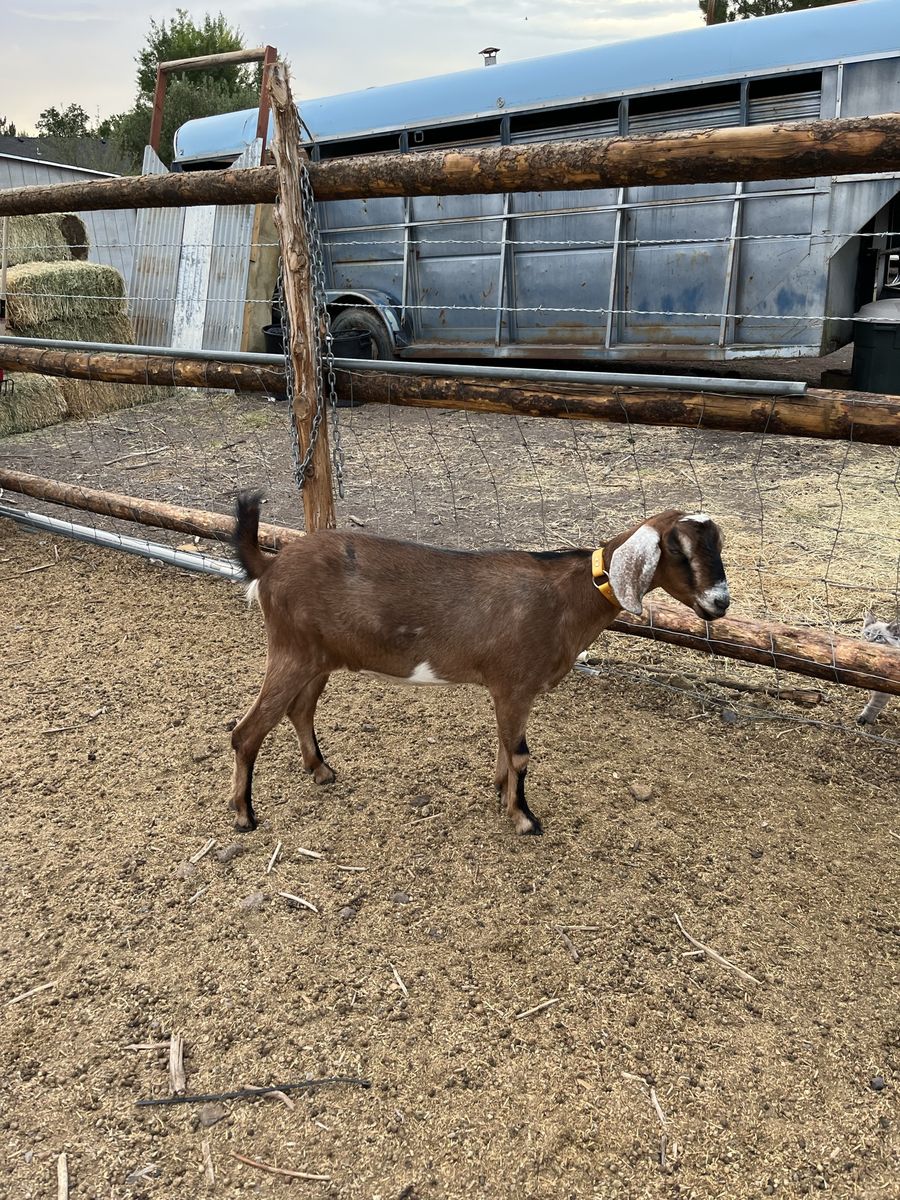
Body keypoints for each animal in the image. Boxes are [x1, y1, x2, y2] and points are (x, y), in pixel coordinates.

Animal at [229, 496, 730, 836]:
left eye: (718, 546)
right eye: (678, 550)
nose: (720, 603)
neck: (567, 597)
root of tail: (269, 567)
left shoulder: (508, 691)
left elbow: (507, 746)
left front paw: (500, 789)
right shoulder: (514, 685)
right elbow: (521, 753)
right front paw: (523, 818)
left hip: (319, 659)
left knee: (299, 710)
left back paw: (321, 771)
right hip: (291, 651)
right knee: (247, 731)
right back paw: (244, 815)